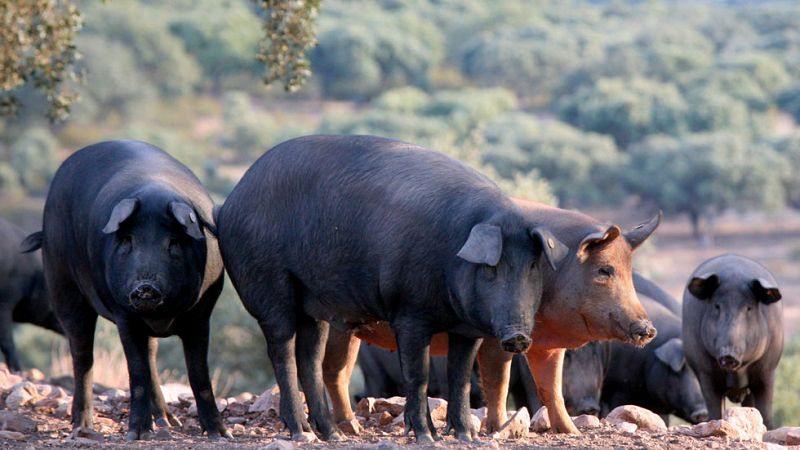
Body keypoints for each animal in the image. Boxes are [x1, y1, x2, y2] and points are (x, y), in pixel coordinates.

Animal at [21, 140, 228, 441]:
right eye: (128, 240)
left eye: (173, 242)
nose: (145, 288)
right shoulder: (125, 316)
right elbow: (136, 373)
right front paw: (136, 435)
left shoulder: (201, 314)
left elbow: (198, 373)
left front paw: (221, 434)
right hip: (61, 282)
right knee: (82, 353)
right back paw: (83, 426)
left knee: (151, 355)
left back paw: (168, 423)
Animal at [216, 135, 568, 443]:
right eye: (492, 268)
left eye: (532, 266)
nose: (518, 336)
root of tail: (231, 201)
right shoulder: (409, 313)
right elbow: (418, 374)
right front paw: (426, 438)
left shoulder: (466, 329)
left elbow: (459, 380)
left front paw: (466, 438)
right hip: (267, 285)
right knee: (281, 350)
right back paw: (301, 434)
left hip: (311, 305)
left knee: (310, 358)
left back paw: (330, 435)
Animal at [322, 199, 660, 436]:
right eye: (604, 270)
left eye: (629, 272)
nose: (648, 328)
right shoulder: (496, 336)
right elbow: (500, 379)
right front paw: (497, 429)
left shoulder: (547, 346)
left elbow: (551, 388)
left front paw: (572, 432)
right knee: (333, 372)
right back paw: (348, 428)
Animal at [682, 254, 783, 429]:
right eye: (717, 306)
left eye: (749, 308)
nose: (728, 355)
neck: (737, 374)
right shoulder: (705, 373)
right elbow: (715, 410)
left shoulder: (768, 369)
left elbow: (766, 412)